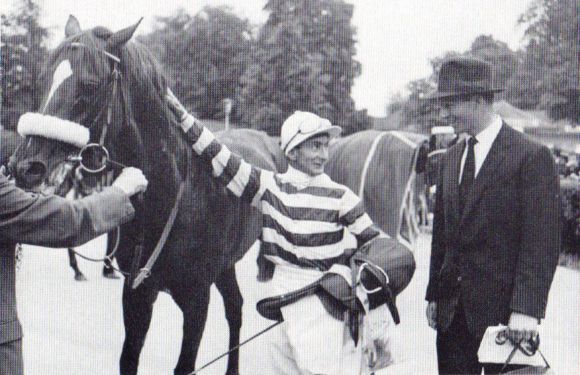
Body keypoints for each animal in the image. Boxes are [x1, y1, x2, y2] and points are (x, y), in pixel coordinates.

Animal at [9, 16, 278, 374]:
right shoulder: (137, 293)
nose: (26, 167)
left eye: (90, 85)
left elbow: (184, 365)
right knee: (235, 305)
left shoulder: (196, 298)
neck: (171, 200)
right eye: (44, 80)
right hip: (226, 265)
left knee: (235, 308)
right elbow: (129, 359)